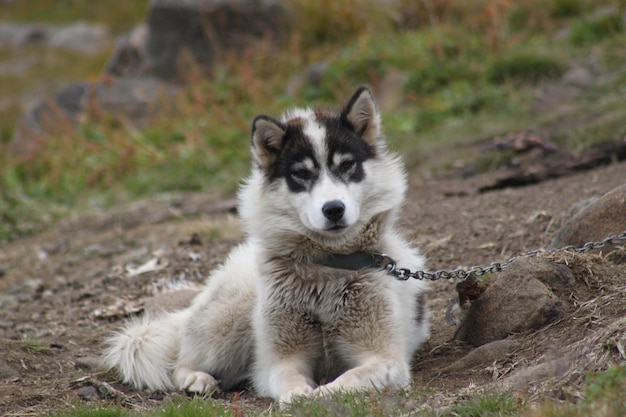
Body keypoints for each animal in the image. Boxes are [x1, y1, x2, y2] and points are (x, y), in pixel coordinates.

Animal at [105, 85, 432, 404]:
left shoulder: (385, 358)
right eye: (301, 173)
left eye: (348, 165)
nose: (334, 209)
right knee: (181, 361)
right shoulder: (280, 360)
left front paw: (323, 393)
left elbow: (350, 378)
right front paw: (299, 396)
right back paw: (196, 379)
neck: (327, 271)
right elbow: (288, 379)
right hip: (231, 318)